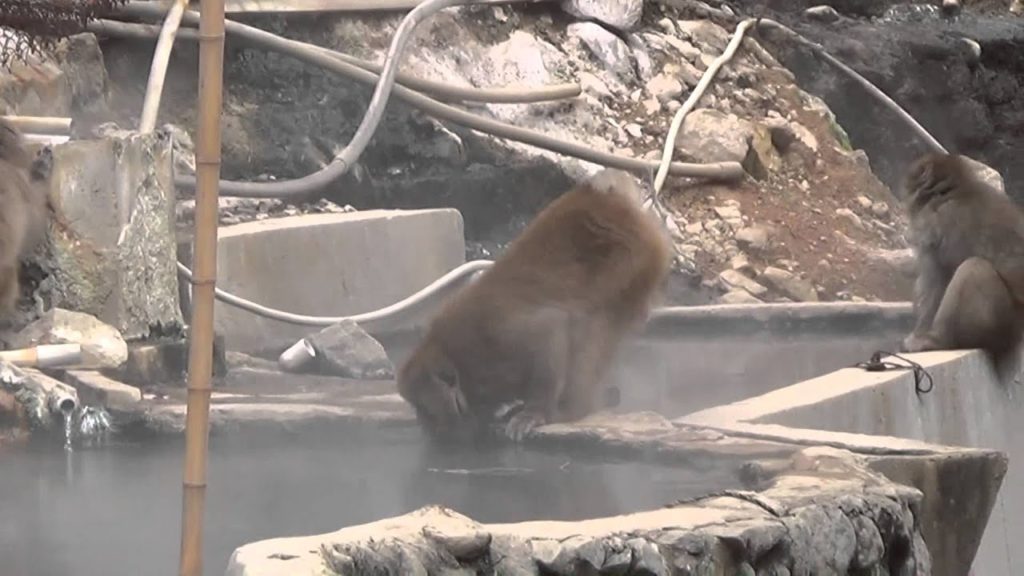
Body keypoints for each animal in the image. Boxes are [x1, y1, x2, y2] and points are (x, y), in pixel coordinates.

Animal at [397, 168, 672, 443]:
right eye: (421, 411)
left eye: (429, 412)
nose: (430, 429)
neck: (455, 360)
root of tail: (600, 195)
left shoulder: (488, 337)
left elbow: (548, 328)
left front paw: (536, 412)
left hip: (635, 257)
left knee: (594, 321)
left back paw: (571, 409)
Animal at [898, 152, 1024, 381]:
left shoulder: (935, 225)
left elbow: (937, 279)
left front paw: (918, 336)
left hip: (1006, 322)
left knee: (973, 269)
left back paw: (939, 340)